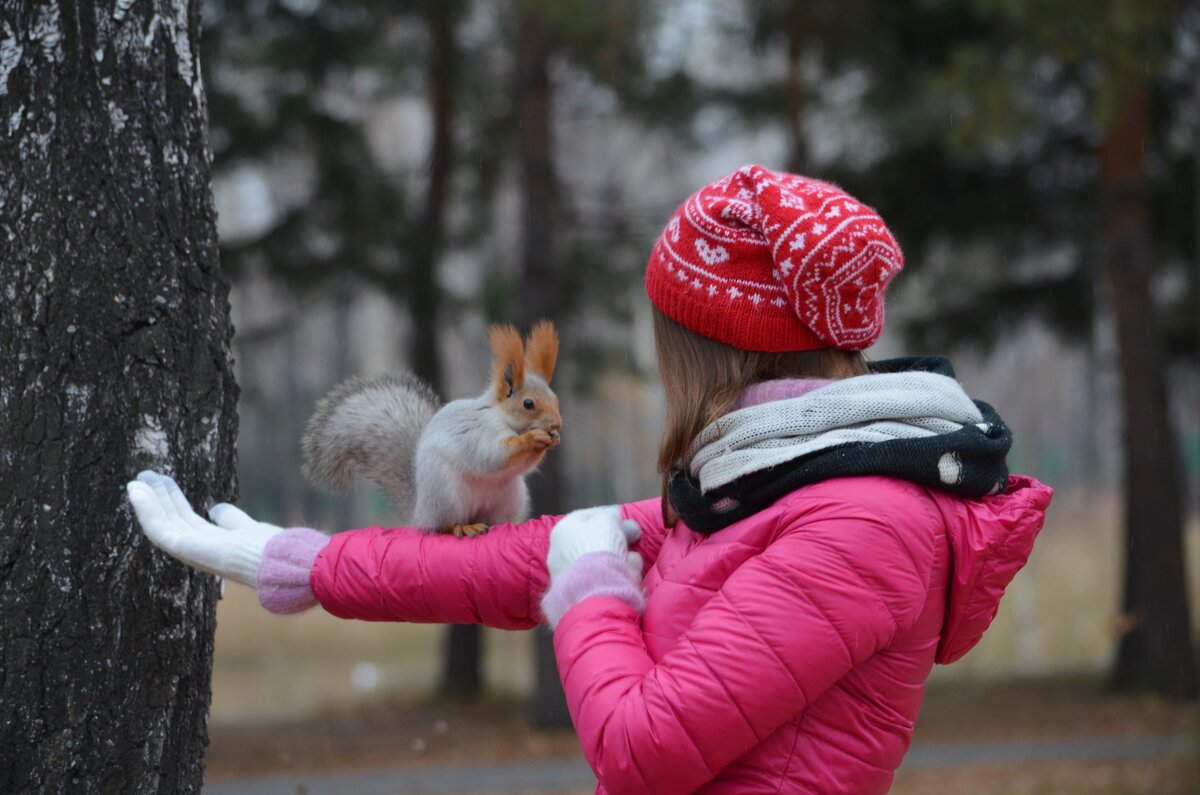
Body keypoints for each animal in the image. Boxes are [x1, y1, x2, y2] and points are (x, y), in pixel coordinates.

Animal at [300, 321, 561, 538]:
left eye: (555, 399)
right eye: (528, 404)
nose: (556, 424)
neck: (501, 416)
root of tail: (421, 512)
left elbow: (523, 466)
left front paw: (552, 439)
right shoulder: (478, 433)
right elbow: (492, 457)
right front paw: (533, 437)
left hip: (511, 497)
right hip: (445, 494)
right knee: (444, 525)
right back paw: (463, 527)